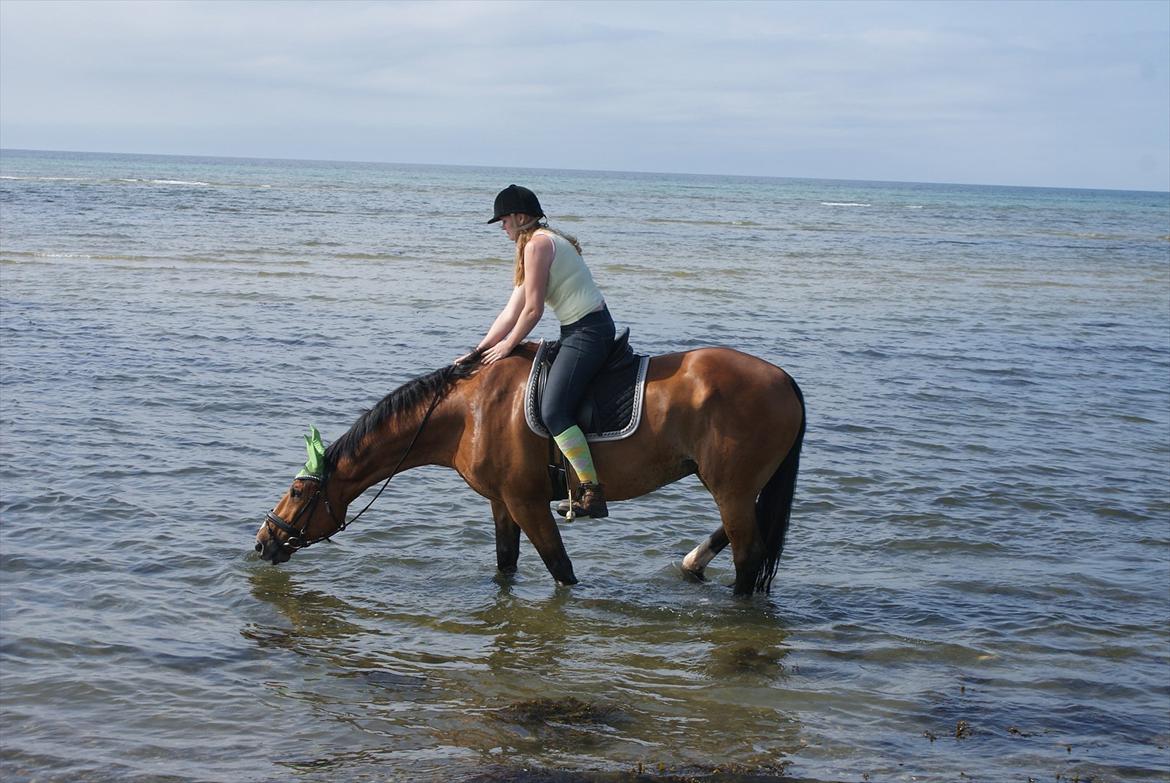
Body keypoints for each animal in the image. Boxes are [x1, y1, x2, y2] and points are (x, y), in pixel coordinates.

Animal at [255, 341, 804, 592]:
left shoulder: (527, 502)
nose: (264, 540)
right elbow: (506, 564)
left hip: (730, 489)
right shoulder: (502, 503)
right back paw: (692, 563)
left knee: (749, 555)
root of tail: (784, 379)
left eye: (299, 493)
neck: (468, 412)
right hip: (734, 487)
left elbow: (561, 570)